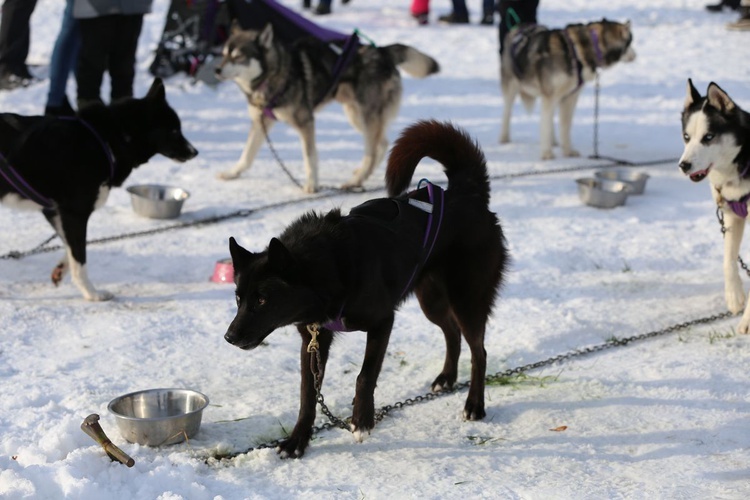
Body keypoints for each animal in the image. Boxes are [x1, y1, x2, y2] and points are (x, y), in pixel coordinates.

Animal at [0, 78, 198, 300]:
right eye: (174, 130)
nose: (195, 152)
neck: (108, 139)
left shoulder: (55, 212)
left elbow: (71, 248)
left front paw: (61, 269)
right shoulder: (75, 213)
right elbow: (80, 258)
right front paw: (91, 293)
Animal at [214, 23, 440, 193]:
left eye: (238, 56)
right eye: (224, 54)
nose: (216, 69)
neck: (276, 72)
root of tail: (382, 51)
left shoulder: (305, 122)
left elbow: (309, 157)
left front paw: (311, 185)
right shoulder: (261, 121)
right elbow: (247, 153)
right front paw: (232, 173)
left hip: (366, 115)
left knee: (372, 150)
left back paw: (356, 181)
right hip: (355, 114)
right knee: (381, 143)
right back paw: (361, 175)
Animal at [225, 120, 512, 458]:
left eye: (262, 299)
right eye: (238, 298)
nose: (229, 337)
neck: (329, 268)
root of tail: (466, 193)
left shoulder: (382, 322)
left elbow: (365, 376)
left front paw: (361, 420)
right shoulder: (313, 339)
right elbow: (307, 396)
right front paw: (297, 442)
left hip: (466, 299)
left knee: (478, 350)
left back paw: (474, 405)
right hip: (431, 300)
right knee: (451, 333)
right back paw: (446, 379)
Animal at [502, 19, 636, 159]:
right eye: (630, 42)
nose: (635, 55)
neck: (576, 53)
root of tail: (519, 26)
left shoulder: (570, 97)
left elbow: (565, 125)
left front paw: (567, 151)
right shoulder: (550, 96)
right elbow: (545, 125)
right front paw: (546, 153)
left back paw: (553, 141)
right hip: (512, 85)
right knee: (507, 111)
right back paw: (504, 138)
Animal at [680, 79, 750, 332]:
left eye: (708, 137)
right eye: (686, 137)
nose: (683, 165)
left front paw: (747, 321)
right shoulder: (732, 216)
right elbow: (728, 260)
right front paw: (734, 296)